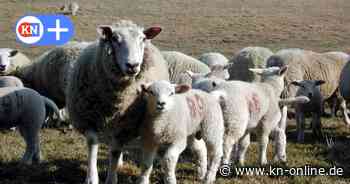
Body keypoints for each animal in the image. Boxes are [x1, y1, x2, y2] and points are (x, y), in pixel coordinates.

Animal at [66, 19, 170, 184]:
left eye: (142, 39)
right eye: (114, 38)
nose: (132, 65)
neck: (115, 101)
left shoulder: (125, 124)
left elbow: (115, 151)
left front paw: (111, 178)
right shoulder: (89, 119)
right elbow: (92, 145)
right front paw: (91, 178)